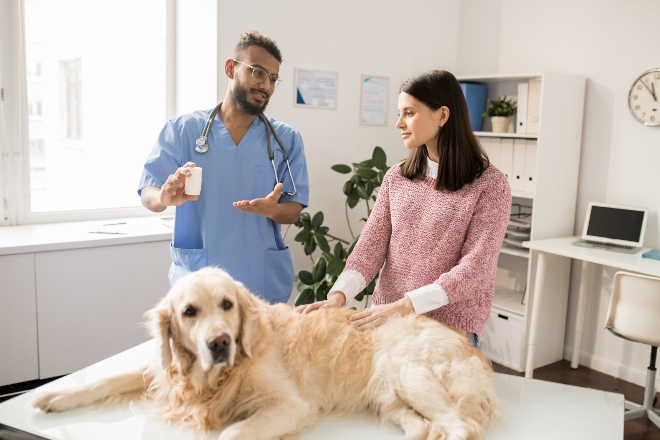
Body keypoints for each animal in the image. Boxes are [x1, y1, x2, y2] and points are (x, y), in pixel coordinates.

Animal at [29, 266, 496, 440]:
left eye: (227, 305)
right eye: (189, 311)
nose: (220, 343)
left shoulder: (292, 405)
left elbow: (232, 433)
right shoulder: (167, 371)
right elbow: (108, 378)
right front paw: (55, 396)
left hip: (411, 376)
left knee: (461, 427)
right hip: (388, 395)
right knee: (423, 424)